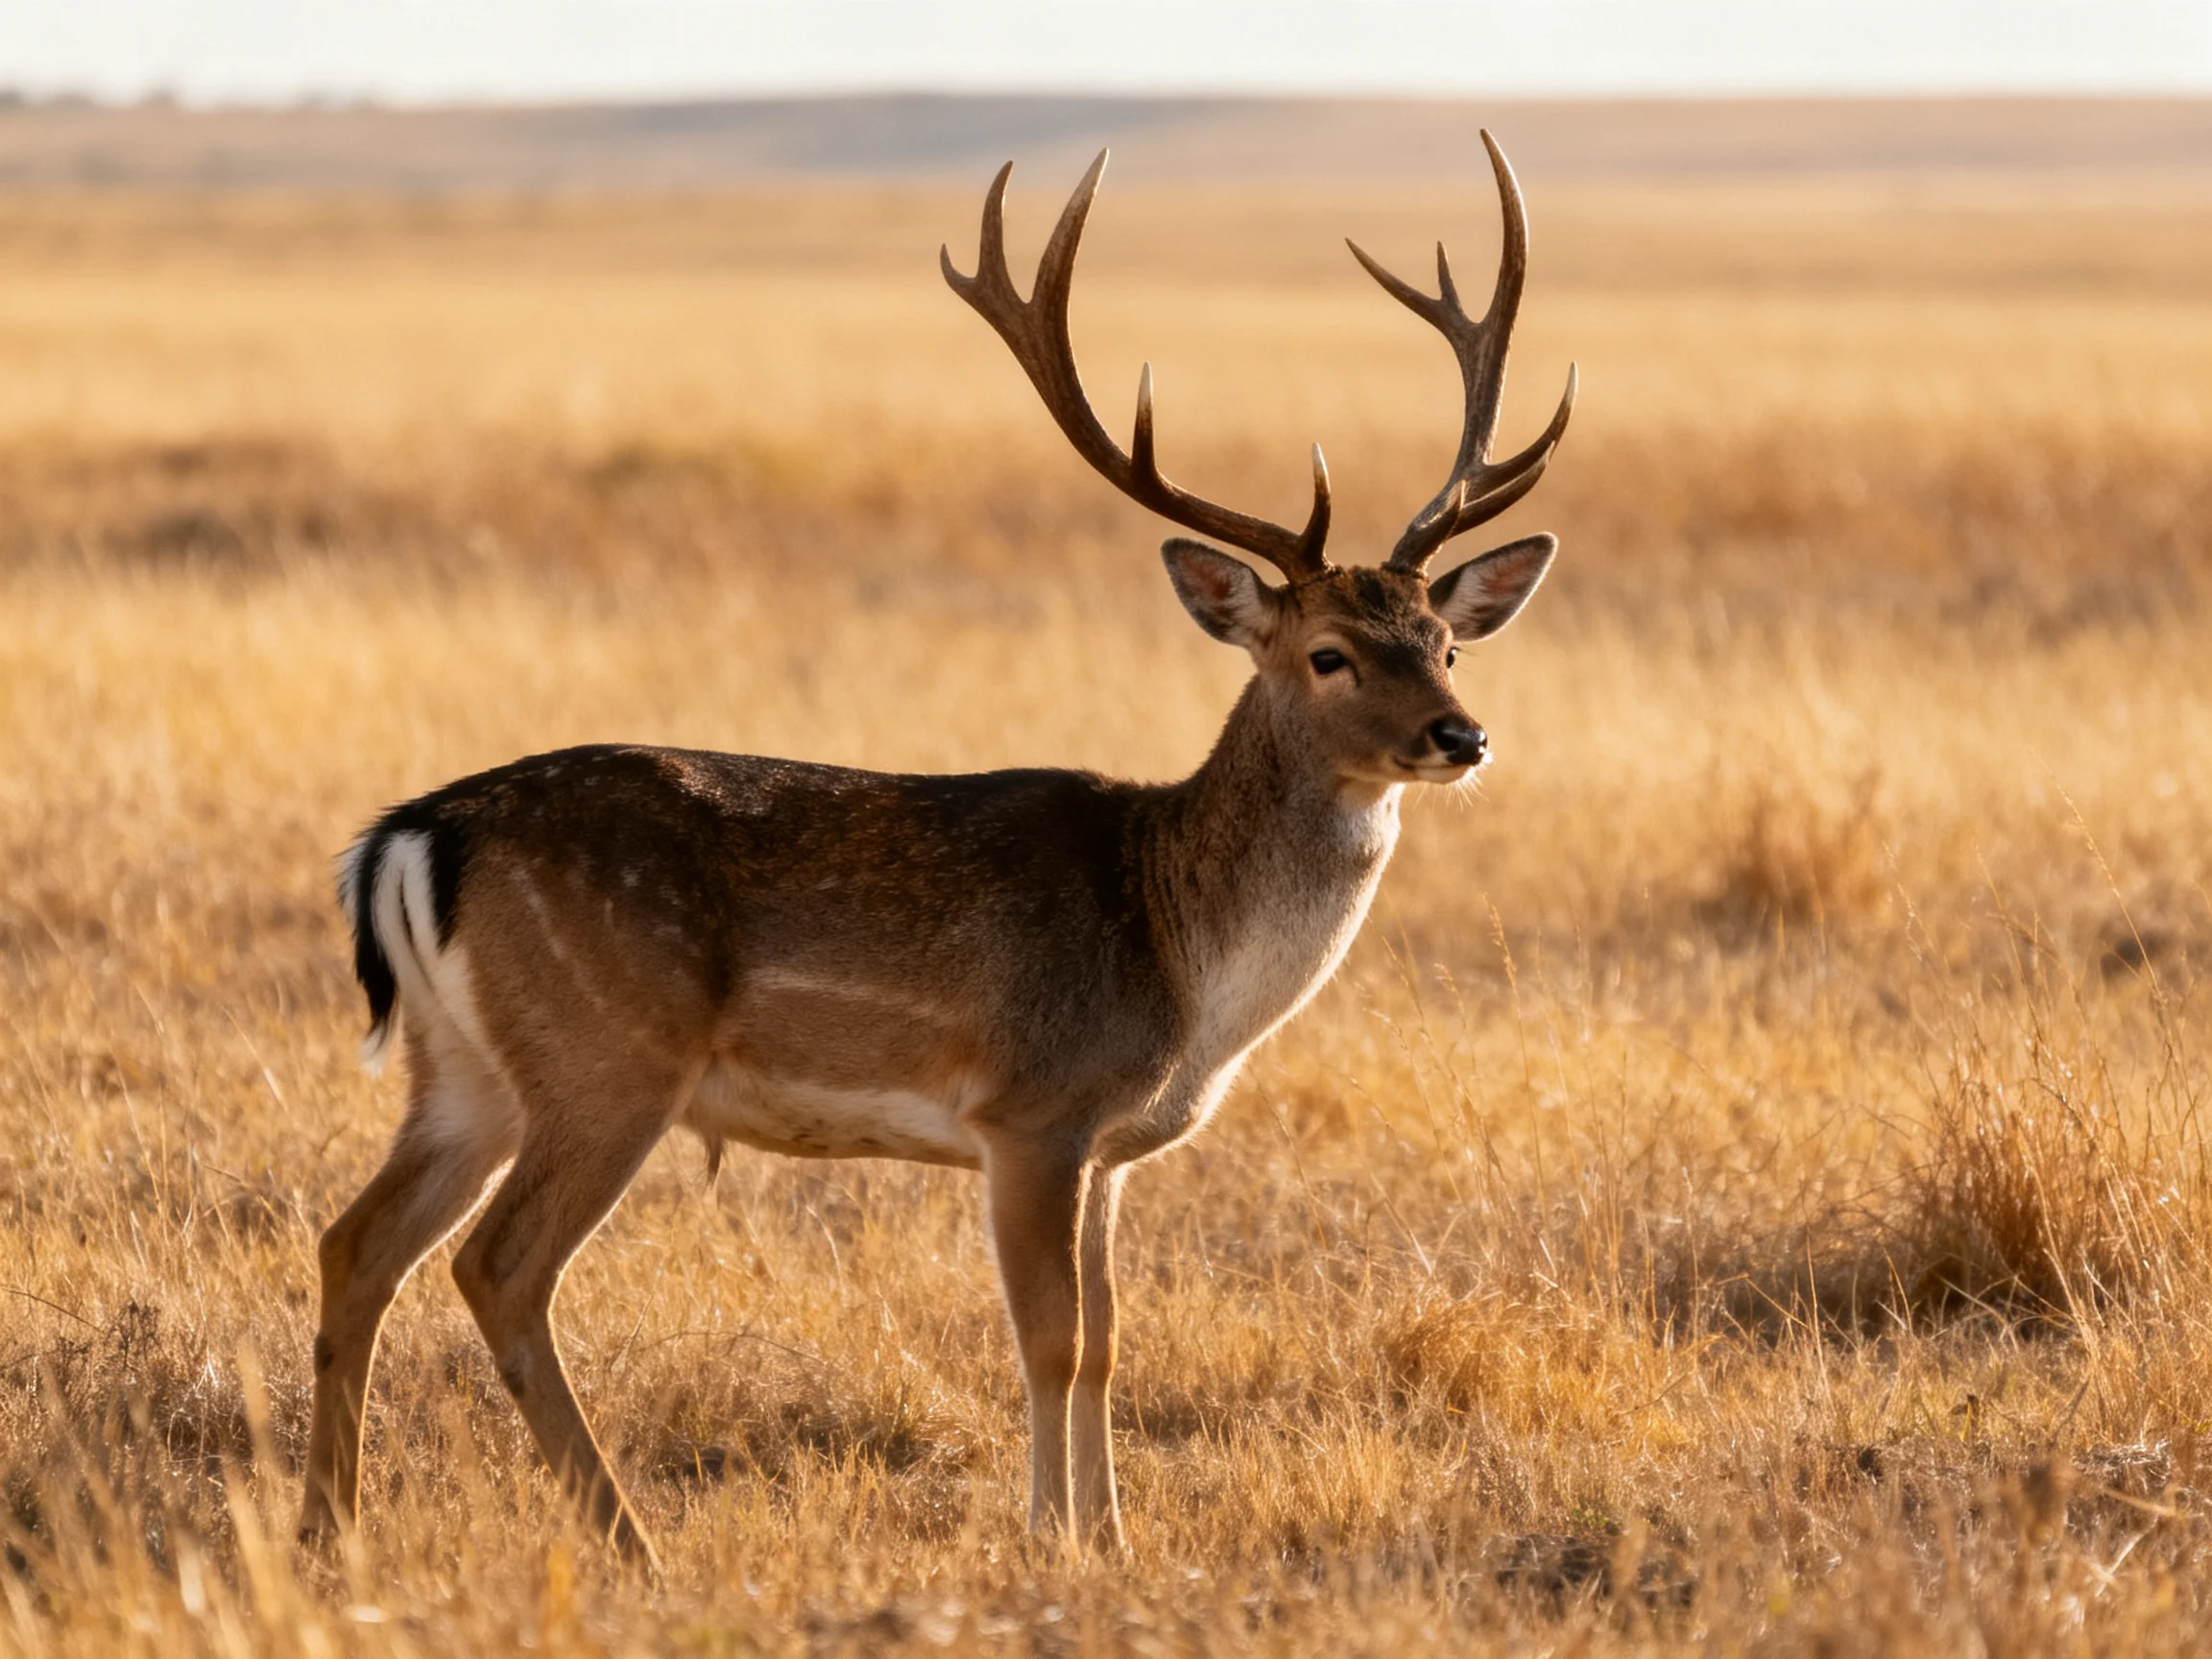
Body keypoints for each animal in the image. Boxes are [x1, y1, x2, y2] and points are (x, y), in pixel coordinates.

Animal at [297, 131, 1574, 1571]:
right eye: (1329, 653)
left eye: (1446, 639)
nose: (1463, 735)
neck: (1180, 960)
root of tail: (410, 836)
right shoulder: (1032, 1106)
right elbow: (1053, 1342)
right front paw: (1056, 1541)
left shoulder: (1109, 1148)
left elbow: (1109, 1345)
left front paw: (1112, 1540)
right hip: (606, 1052)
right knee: (497, 1267)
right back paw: (628, 1542)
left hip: (463, 1066)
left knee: (357, 1244)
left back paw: (329, 1531)